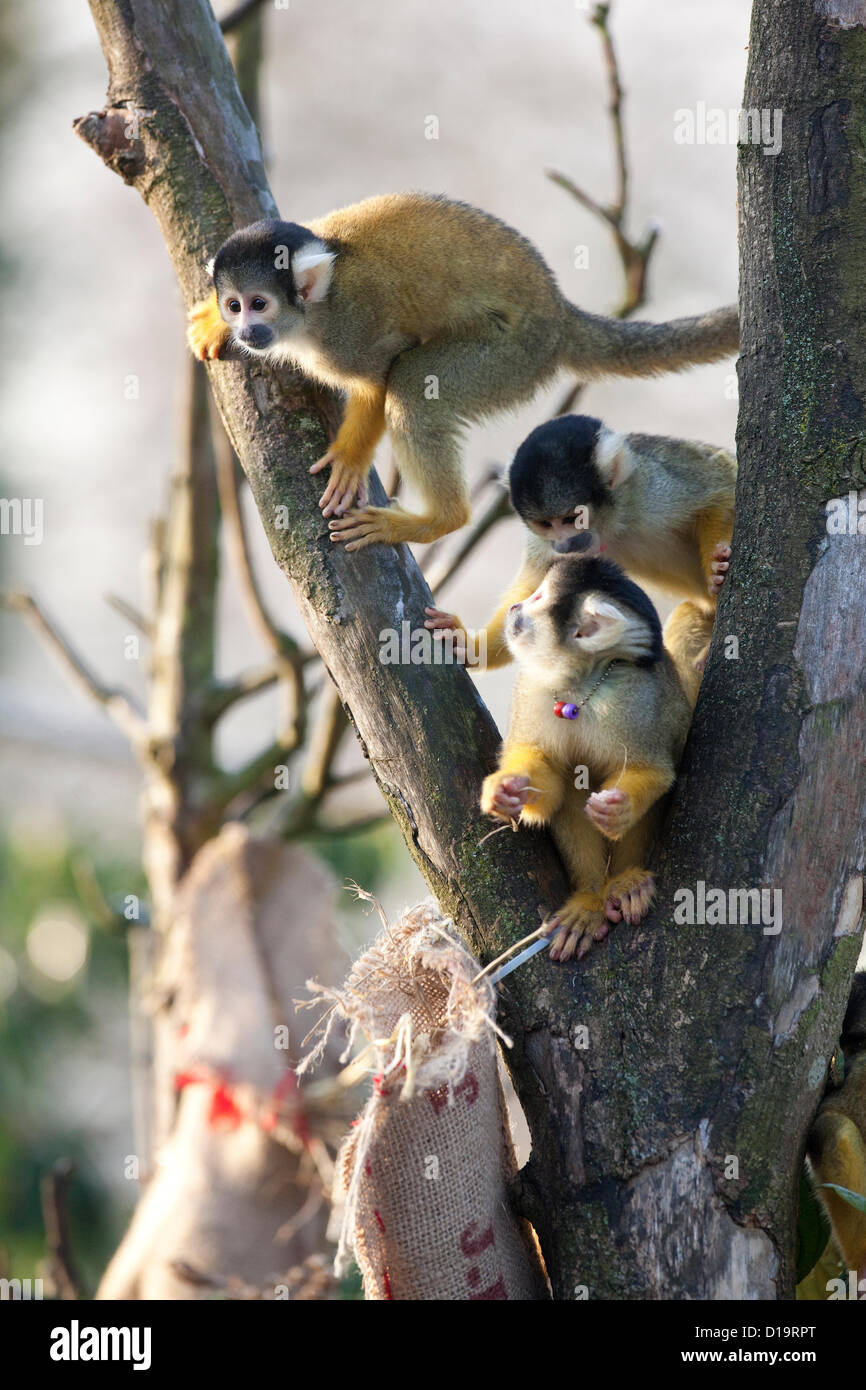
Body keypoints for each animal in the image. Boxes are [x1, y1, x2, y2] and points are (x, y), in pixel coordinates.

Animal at [187, 197, 739, 553]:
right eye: (235, 304)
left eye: (260, 304)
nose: (247, 329)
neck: (315, 307)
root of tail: (558, 315)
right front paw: (211, 323)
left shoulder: (351, 332)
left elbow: (381, 375)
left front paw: (348, 459)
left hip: (509, 358)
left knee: (414, 386)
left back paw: (439, 520)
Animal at [430, 411, 733, 672]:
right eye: (545, 524)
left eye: (572, 518)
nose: (563, 545)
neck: (609, 523)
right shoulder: (542, 542)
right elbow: (535, 592)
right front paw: (469, 646)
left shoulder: (651, 487)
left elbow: (719, 486)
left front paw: (717, 569)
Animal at [480, 536, 692, 961]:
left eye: (538, 597)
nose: (514, 608)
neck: (581, 682)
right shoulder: (532, 686)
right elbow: (550, 789)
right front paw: (506, 788)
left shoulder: (637, 697)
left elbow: (653, 770)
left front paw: (619, 807)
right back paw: (591, 899)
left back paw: (626, 884)